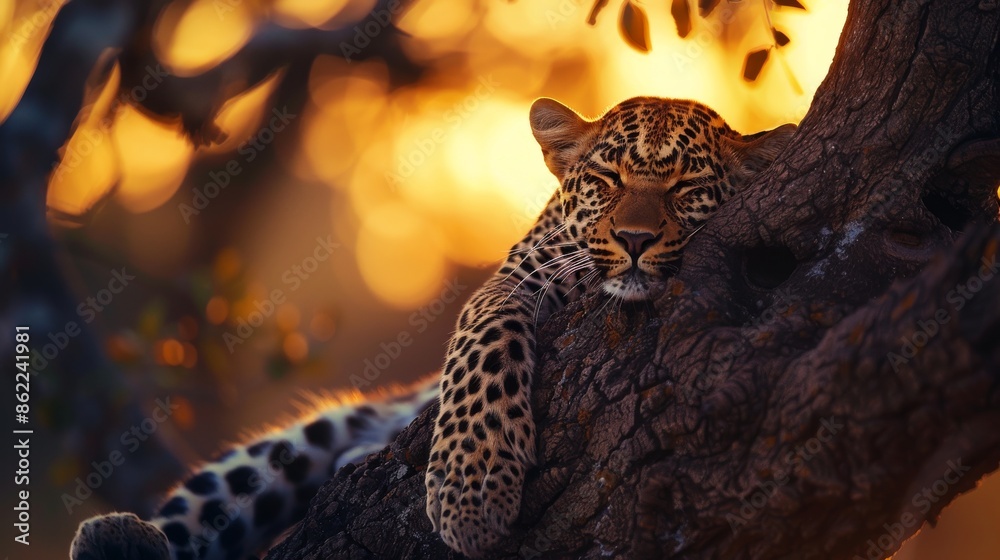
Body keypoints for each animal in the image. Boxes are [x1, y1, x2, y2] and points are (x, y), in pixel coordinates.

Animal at [70, 96, 794, 560]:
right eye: (608, 177)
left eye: (687, 186)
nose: (636, 240)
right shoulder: (514, 279)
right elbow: (482, 348)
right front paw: (472, 498)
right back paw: (118, 537)